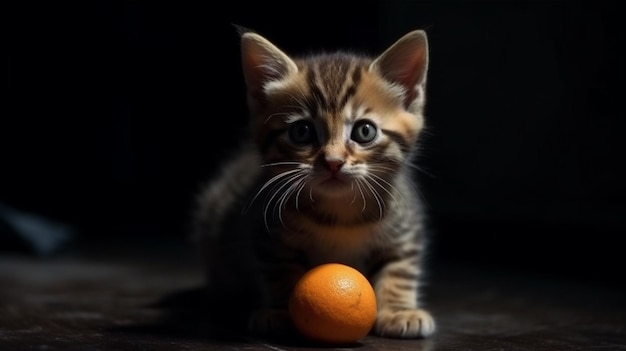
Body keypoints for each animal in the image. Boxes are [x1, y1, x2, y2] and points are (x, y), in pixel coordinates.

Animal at [194, 28, 434, 340]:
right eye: (302, 132)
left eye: (364, 131)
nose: (333, 162)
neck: (341, 211)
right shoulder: (268, 233)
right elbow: (281, 271)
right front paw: (280, 311)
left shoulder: (406, 229)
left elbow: (400, 268)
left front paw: (398, 311)